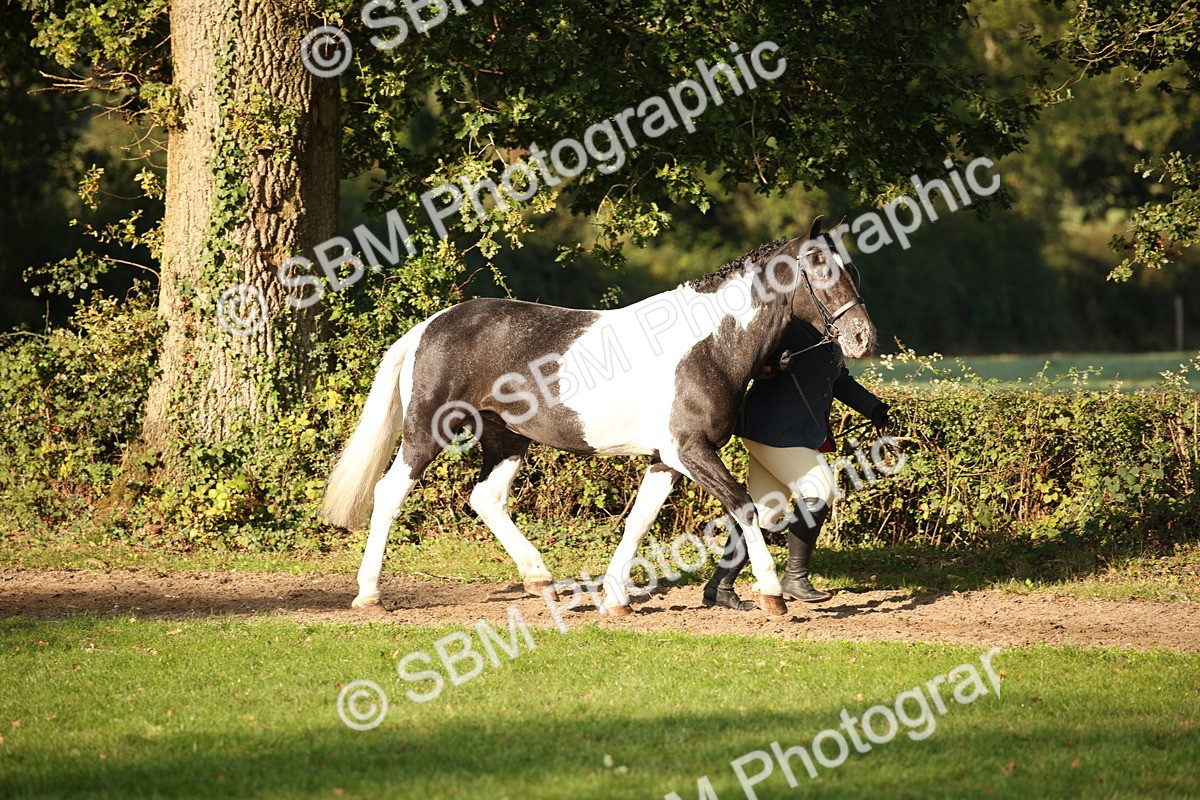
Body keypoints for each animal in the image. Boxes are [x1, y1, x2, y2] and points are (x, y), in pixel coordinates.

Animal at [322, 215, 877, 616]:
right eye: (820, 265)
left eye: (850, 268)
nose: (862, 338)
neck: (708, 344)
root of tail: (428, 327)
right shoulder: (690, 450)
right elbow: (744, 507)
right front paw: (771, 593)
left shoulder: (665, 459)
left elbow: (640, 520)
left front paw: (615, 600)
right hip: (426, 434)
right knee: (389, 494)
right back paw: (369, 595)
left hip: (507, 439)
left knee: (486, 498)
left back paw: (540, 579)